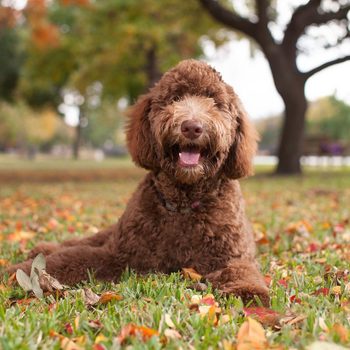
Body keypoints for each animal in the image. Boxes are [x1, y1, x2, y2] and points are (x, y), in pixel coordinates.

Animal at [7, 58, 270, 304]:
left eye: (214, 102)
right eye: (175, 98)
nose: (192, 127)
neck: (183, 205)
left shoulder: (231, 256)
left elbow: (242, 270)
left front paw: (248, 291)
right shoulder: (121, 254)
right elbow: (70, 258)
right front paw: (18, 271)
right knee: (84, 241)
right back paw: (43, 248)